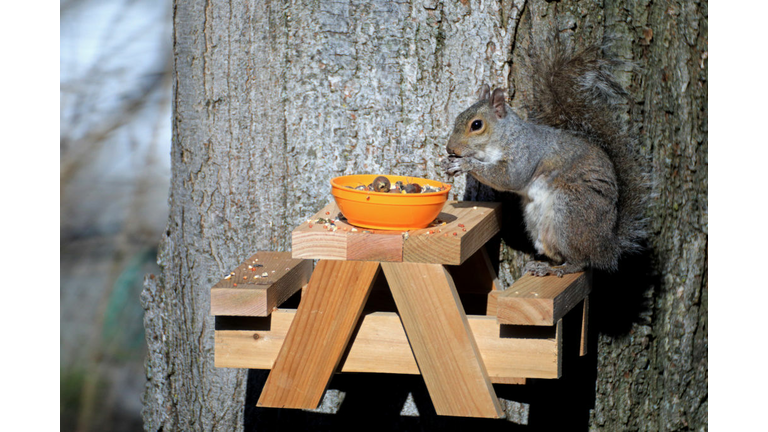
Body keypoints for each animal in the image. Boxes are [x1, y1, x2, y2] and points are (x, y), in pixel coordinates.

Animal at [444, 42, 648, 276]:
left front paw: (464, 164)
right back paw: (543, 266)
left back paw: (561, 269)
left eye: (476, 125)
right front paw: (449, 162)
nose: (450, 148)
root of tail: (607, 246)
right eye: (458, 118)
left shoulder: (525, 154)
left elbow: (508, 178)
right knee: (558, 253)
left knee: (581, 261)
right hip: (537, 221)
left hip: (570, 211)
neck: (504, 137)